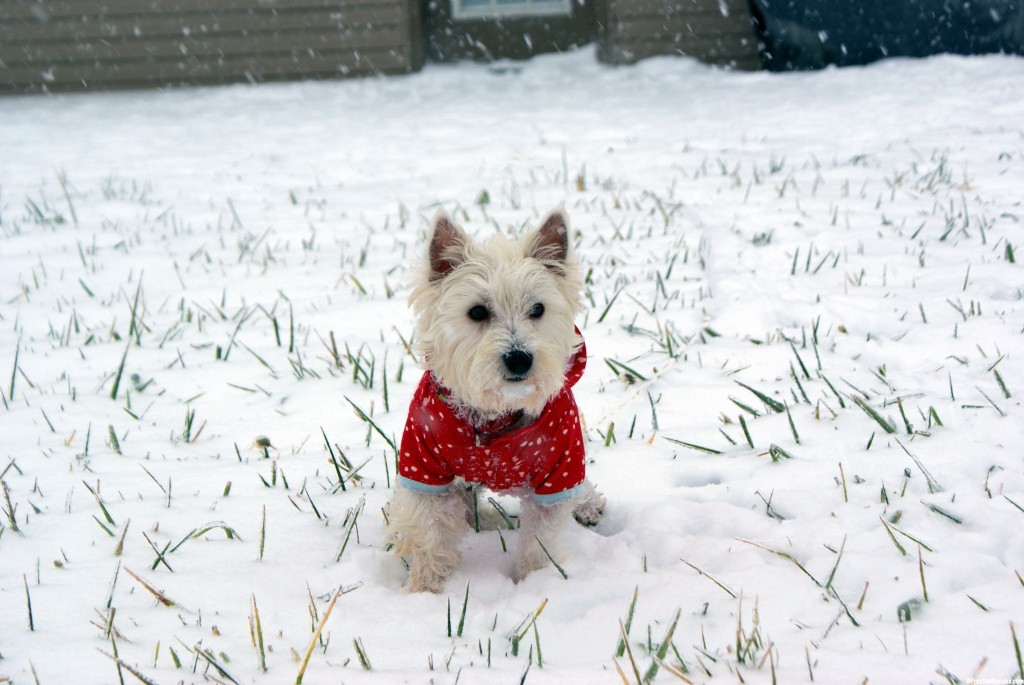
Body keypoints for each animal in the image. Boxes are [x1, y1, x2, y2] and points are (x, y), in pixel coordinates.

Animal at [387, 205, 602, 589]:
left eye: (537, 309)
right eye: (477, 312)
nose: (519, 358)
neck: (495, 414)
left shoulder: (558, 466)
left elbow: (541, 539)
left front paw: (536, 583)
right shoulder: (423, 465)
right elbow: (430, 536)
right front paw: (426, 589)